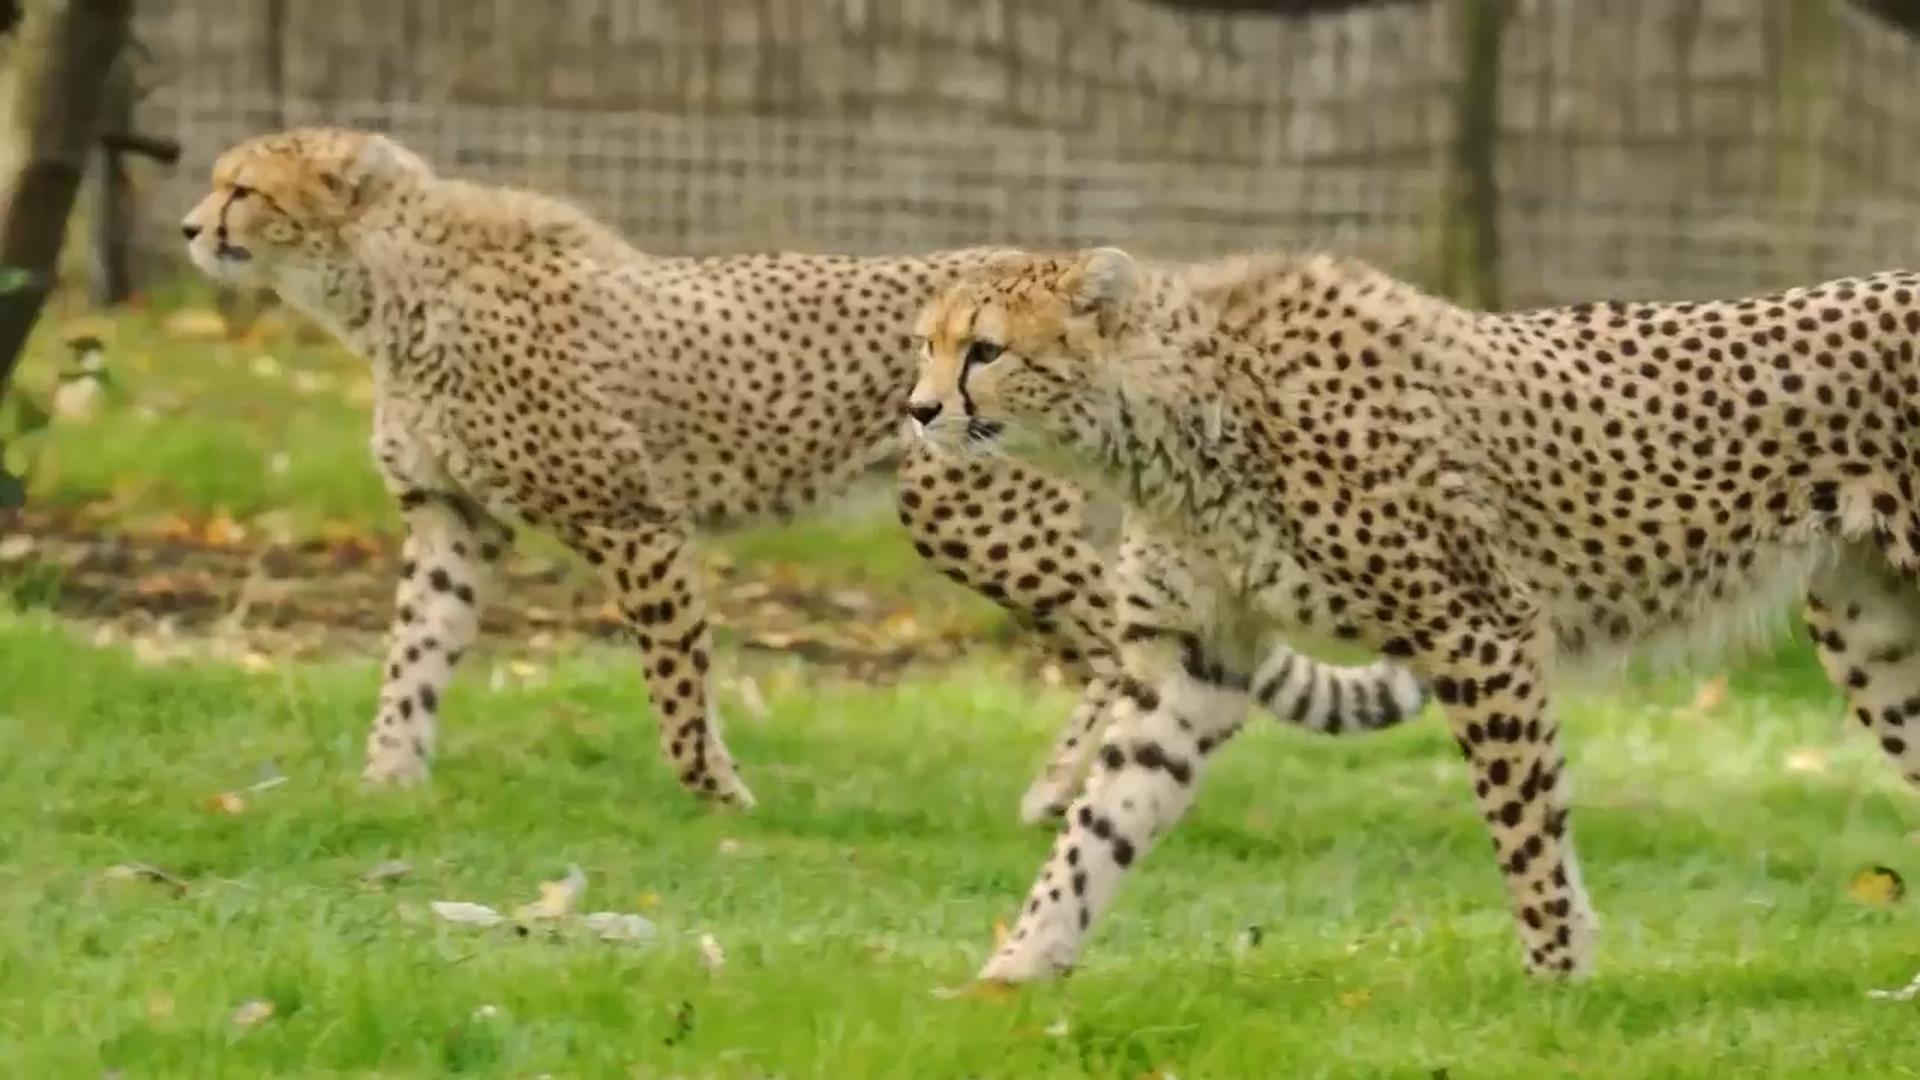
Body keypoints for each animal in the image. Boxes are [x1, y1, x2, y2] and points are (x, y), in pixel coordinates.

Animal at [177, 127, 1426, 817]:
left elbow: (674, 679)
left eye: (244, 188)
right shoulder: (451, 519)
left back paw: (1053, 790)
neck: (381, 281)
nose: (190, 227)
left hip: (972, 516)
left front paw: (718, 797)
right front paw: (388, 781)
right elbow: (414, 658)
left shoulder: (634, 519)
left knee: (1118, 648)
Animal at [908, 244, 1920, 983]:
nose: (917, 411)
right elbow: (1102, 825)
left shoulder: (1480, 629)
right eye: (926, 344)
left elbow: (1525, 826)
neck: (1173, 413)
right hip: (1871, 632)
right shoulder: (1195, 662)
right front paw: (1013, 973)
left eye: (986, 350)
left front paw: (1557, 983)